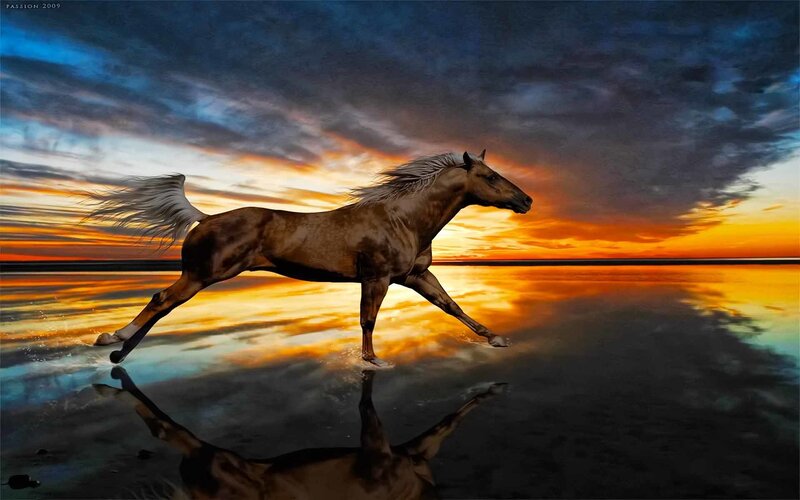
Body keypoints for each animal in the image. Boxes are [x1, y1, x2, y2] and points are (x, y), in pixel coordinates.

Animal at [89, 150, 533, 365]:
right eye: (490, 177)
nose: (526, 201)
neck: (403, 218)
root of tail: (206, 217)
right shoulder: (377, 278)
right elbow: (368, 320)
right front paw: (372, 361)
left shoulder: (416, 276)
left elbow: (452, 307)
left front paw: (497, 338)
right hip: (203, 274)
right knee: (160, 300)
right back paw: (113, 339)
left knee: (162, 306)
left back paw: (119, 353)